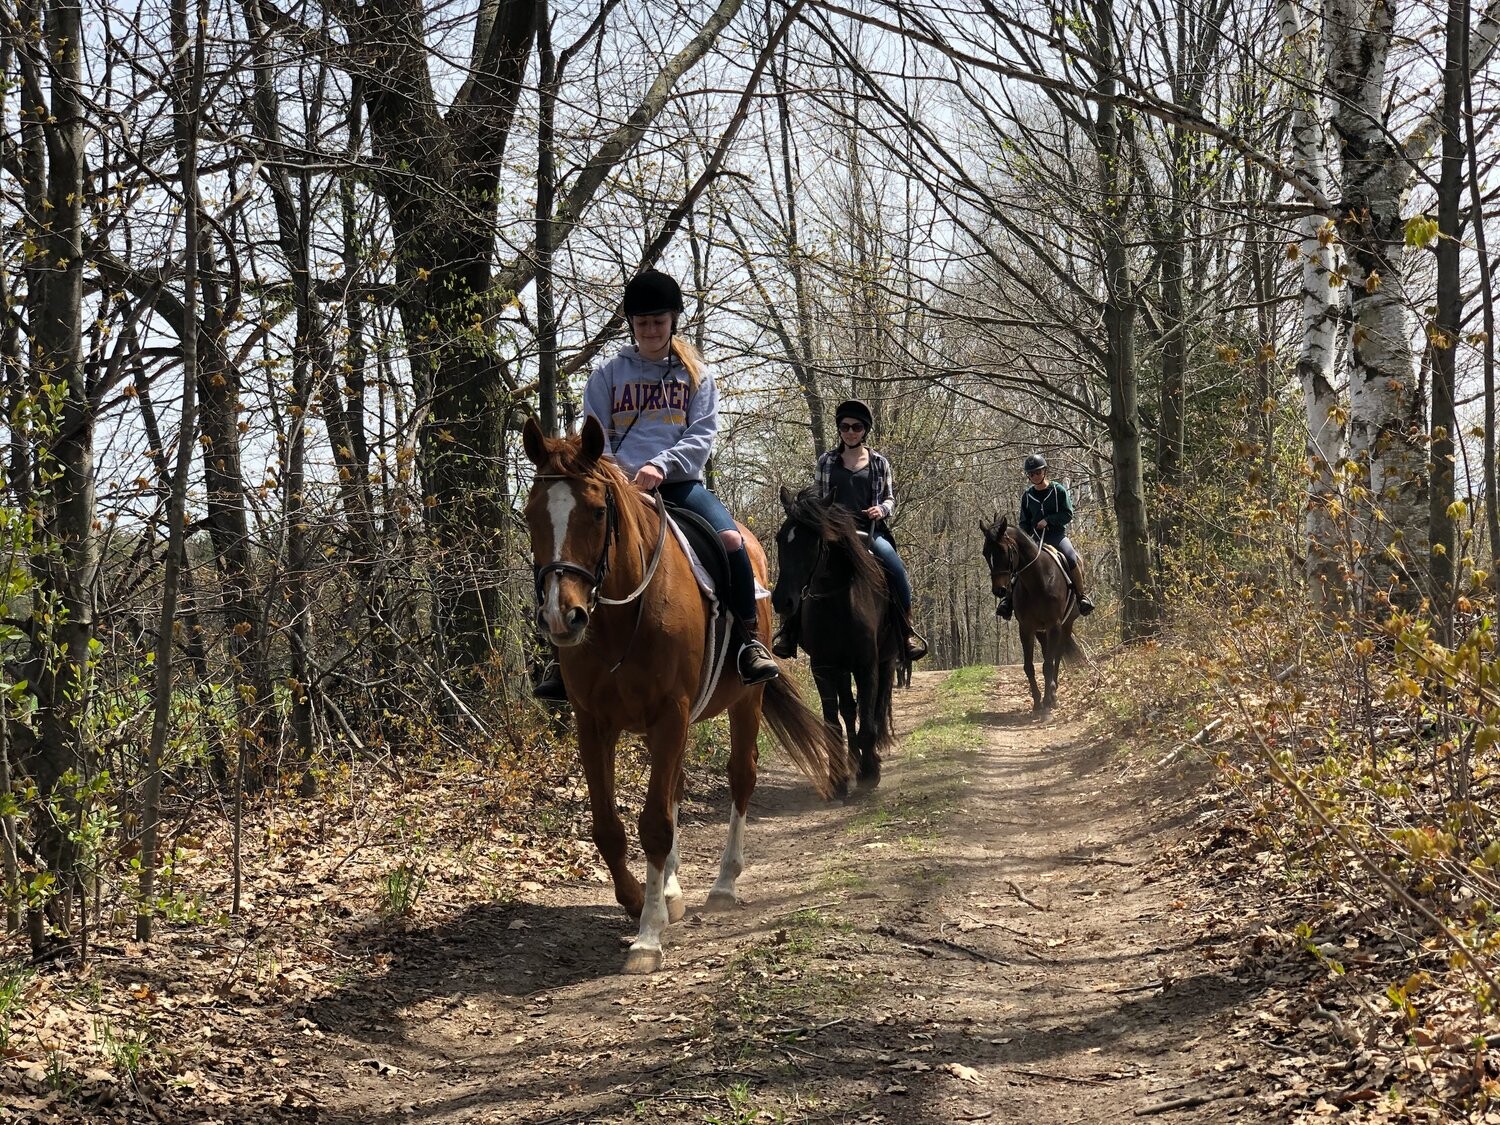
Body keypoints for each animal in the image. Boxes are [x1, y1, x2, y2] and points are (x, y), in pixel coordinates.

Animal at [522, 420, 852, 972]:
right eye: (530, 514)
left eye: (596, 511)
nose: (560, 616)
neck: (620, 619)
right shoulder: (593, 723)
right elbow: (609, 826)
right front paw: (641, 899)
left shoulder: (669, 714)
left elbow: (655, 823)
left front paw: (647, 935)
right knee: (675, 788)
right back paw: (672, 890)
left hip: (743, 703)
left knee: (740, 779)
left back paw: (722, 886)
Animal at [978, 519, 1086, 714]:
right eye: (985, 553)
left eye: (1003, 550)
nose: (999, 590)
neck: (1038, 580)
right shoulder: (1027, 627)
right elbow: (1029, 666)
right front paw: (1037, 702)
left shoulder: (1054, 625)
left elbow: (1049, 664)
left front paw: (1047, 704)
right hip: (1040, 631)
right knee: (1047, 652)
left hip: (1066, 625)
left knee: (1057, 656)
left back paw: (1053, 694)